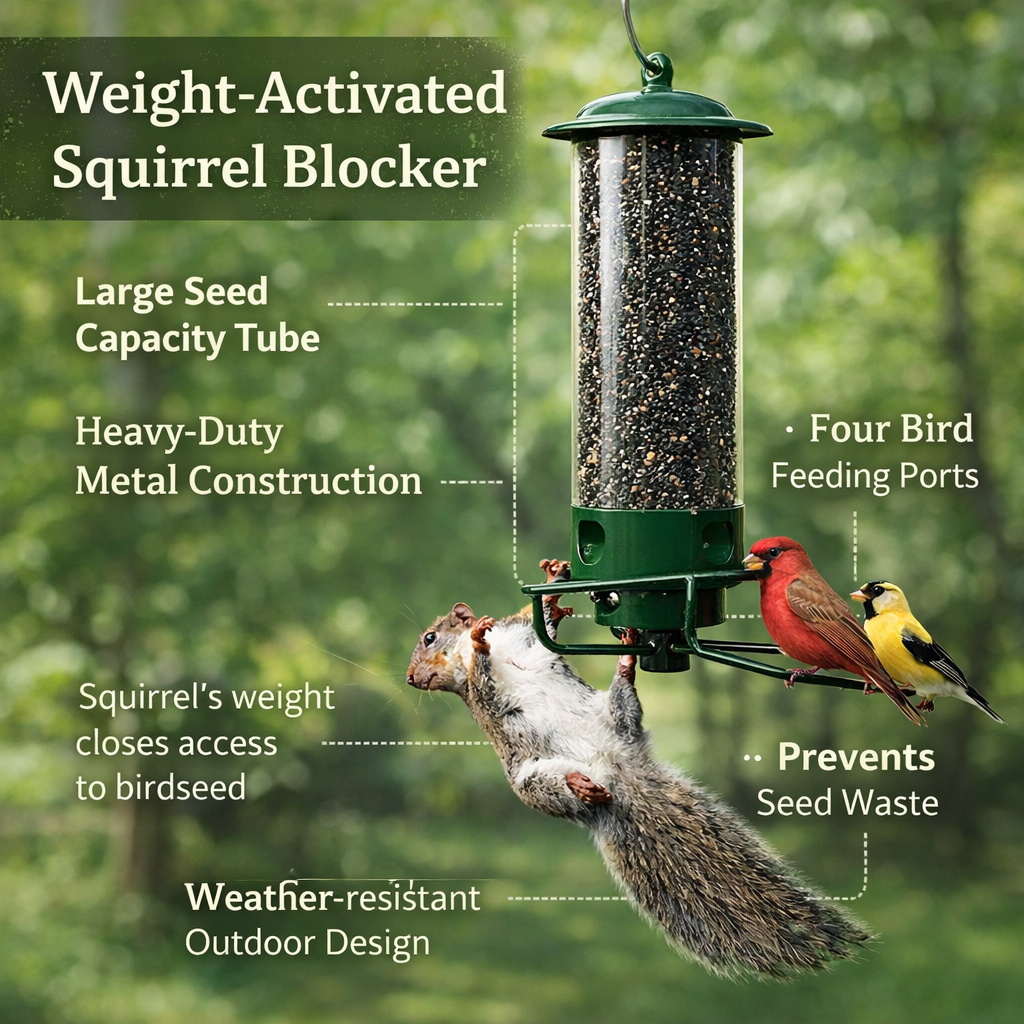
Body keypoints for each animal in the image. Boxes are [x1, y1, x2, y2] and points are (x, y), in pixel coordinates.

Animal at [407, 559, 871, 980]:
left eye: (429, 637)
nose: (412, 678)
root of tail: (615, 771)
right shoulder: (481, 693)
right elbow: (483, 677)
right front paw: (480, 643)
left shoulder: (524, 635)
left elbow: (542, 630)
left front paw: (551, 586)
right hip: (533, 781)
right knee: (561, 787)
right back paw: (579, 784)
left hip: (615, 716)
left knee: (623, 702)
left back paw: (626, 665)